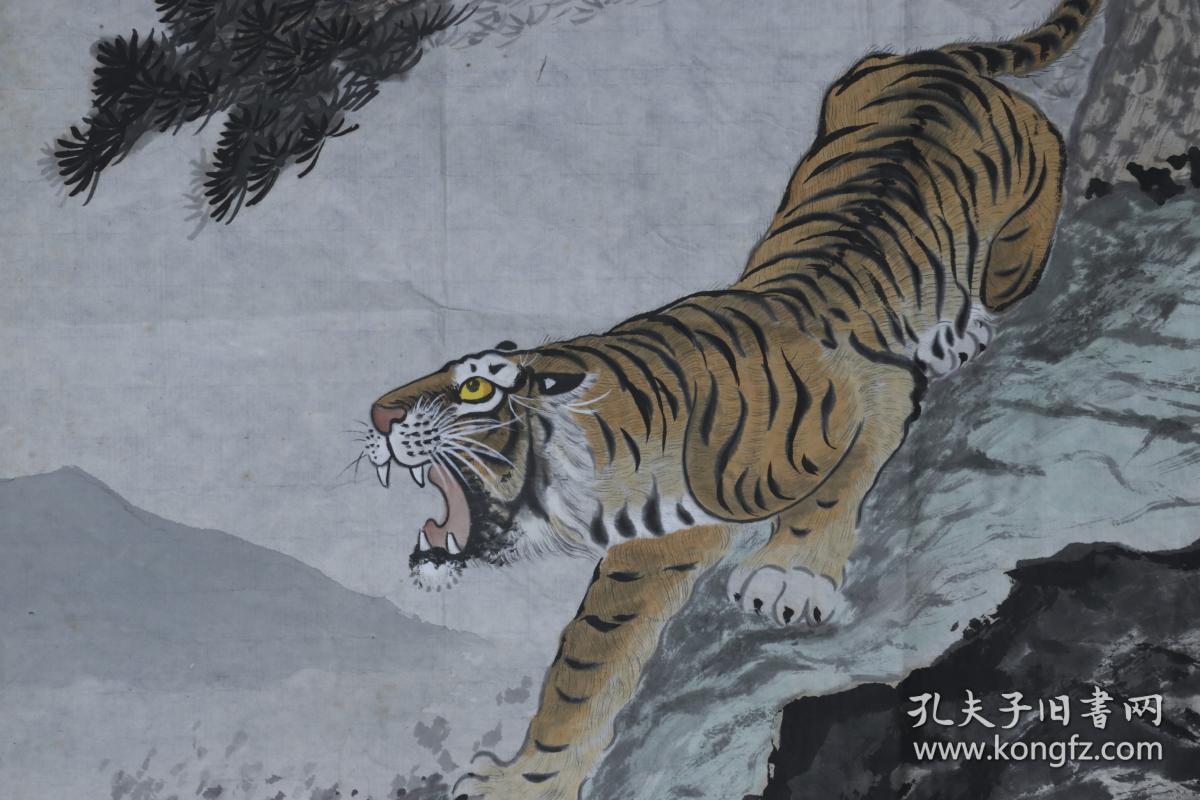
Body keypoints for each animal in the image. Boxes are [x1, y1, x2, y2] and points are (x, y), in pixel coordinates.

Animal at [360, 1, 1100, 797]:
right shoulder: (652, 549)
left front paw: (789, 575)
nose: (375, 414)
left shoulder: (874, 388)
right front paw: (527, 779)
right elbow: (585, 667)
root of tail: (935, 59)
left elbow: (837, 483)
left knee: (1011, 257)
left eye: (473, 387)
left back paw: (966, 330)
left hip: (1021, 227)